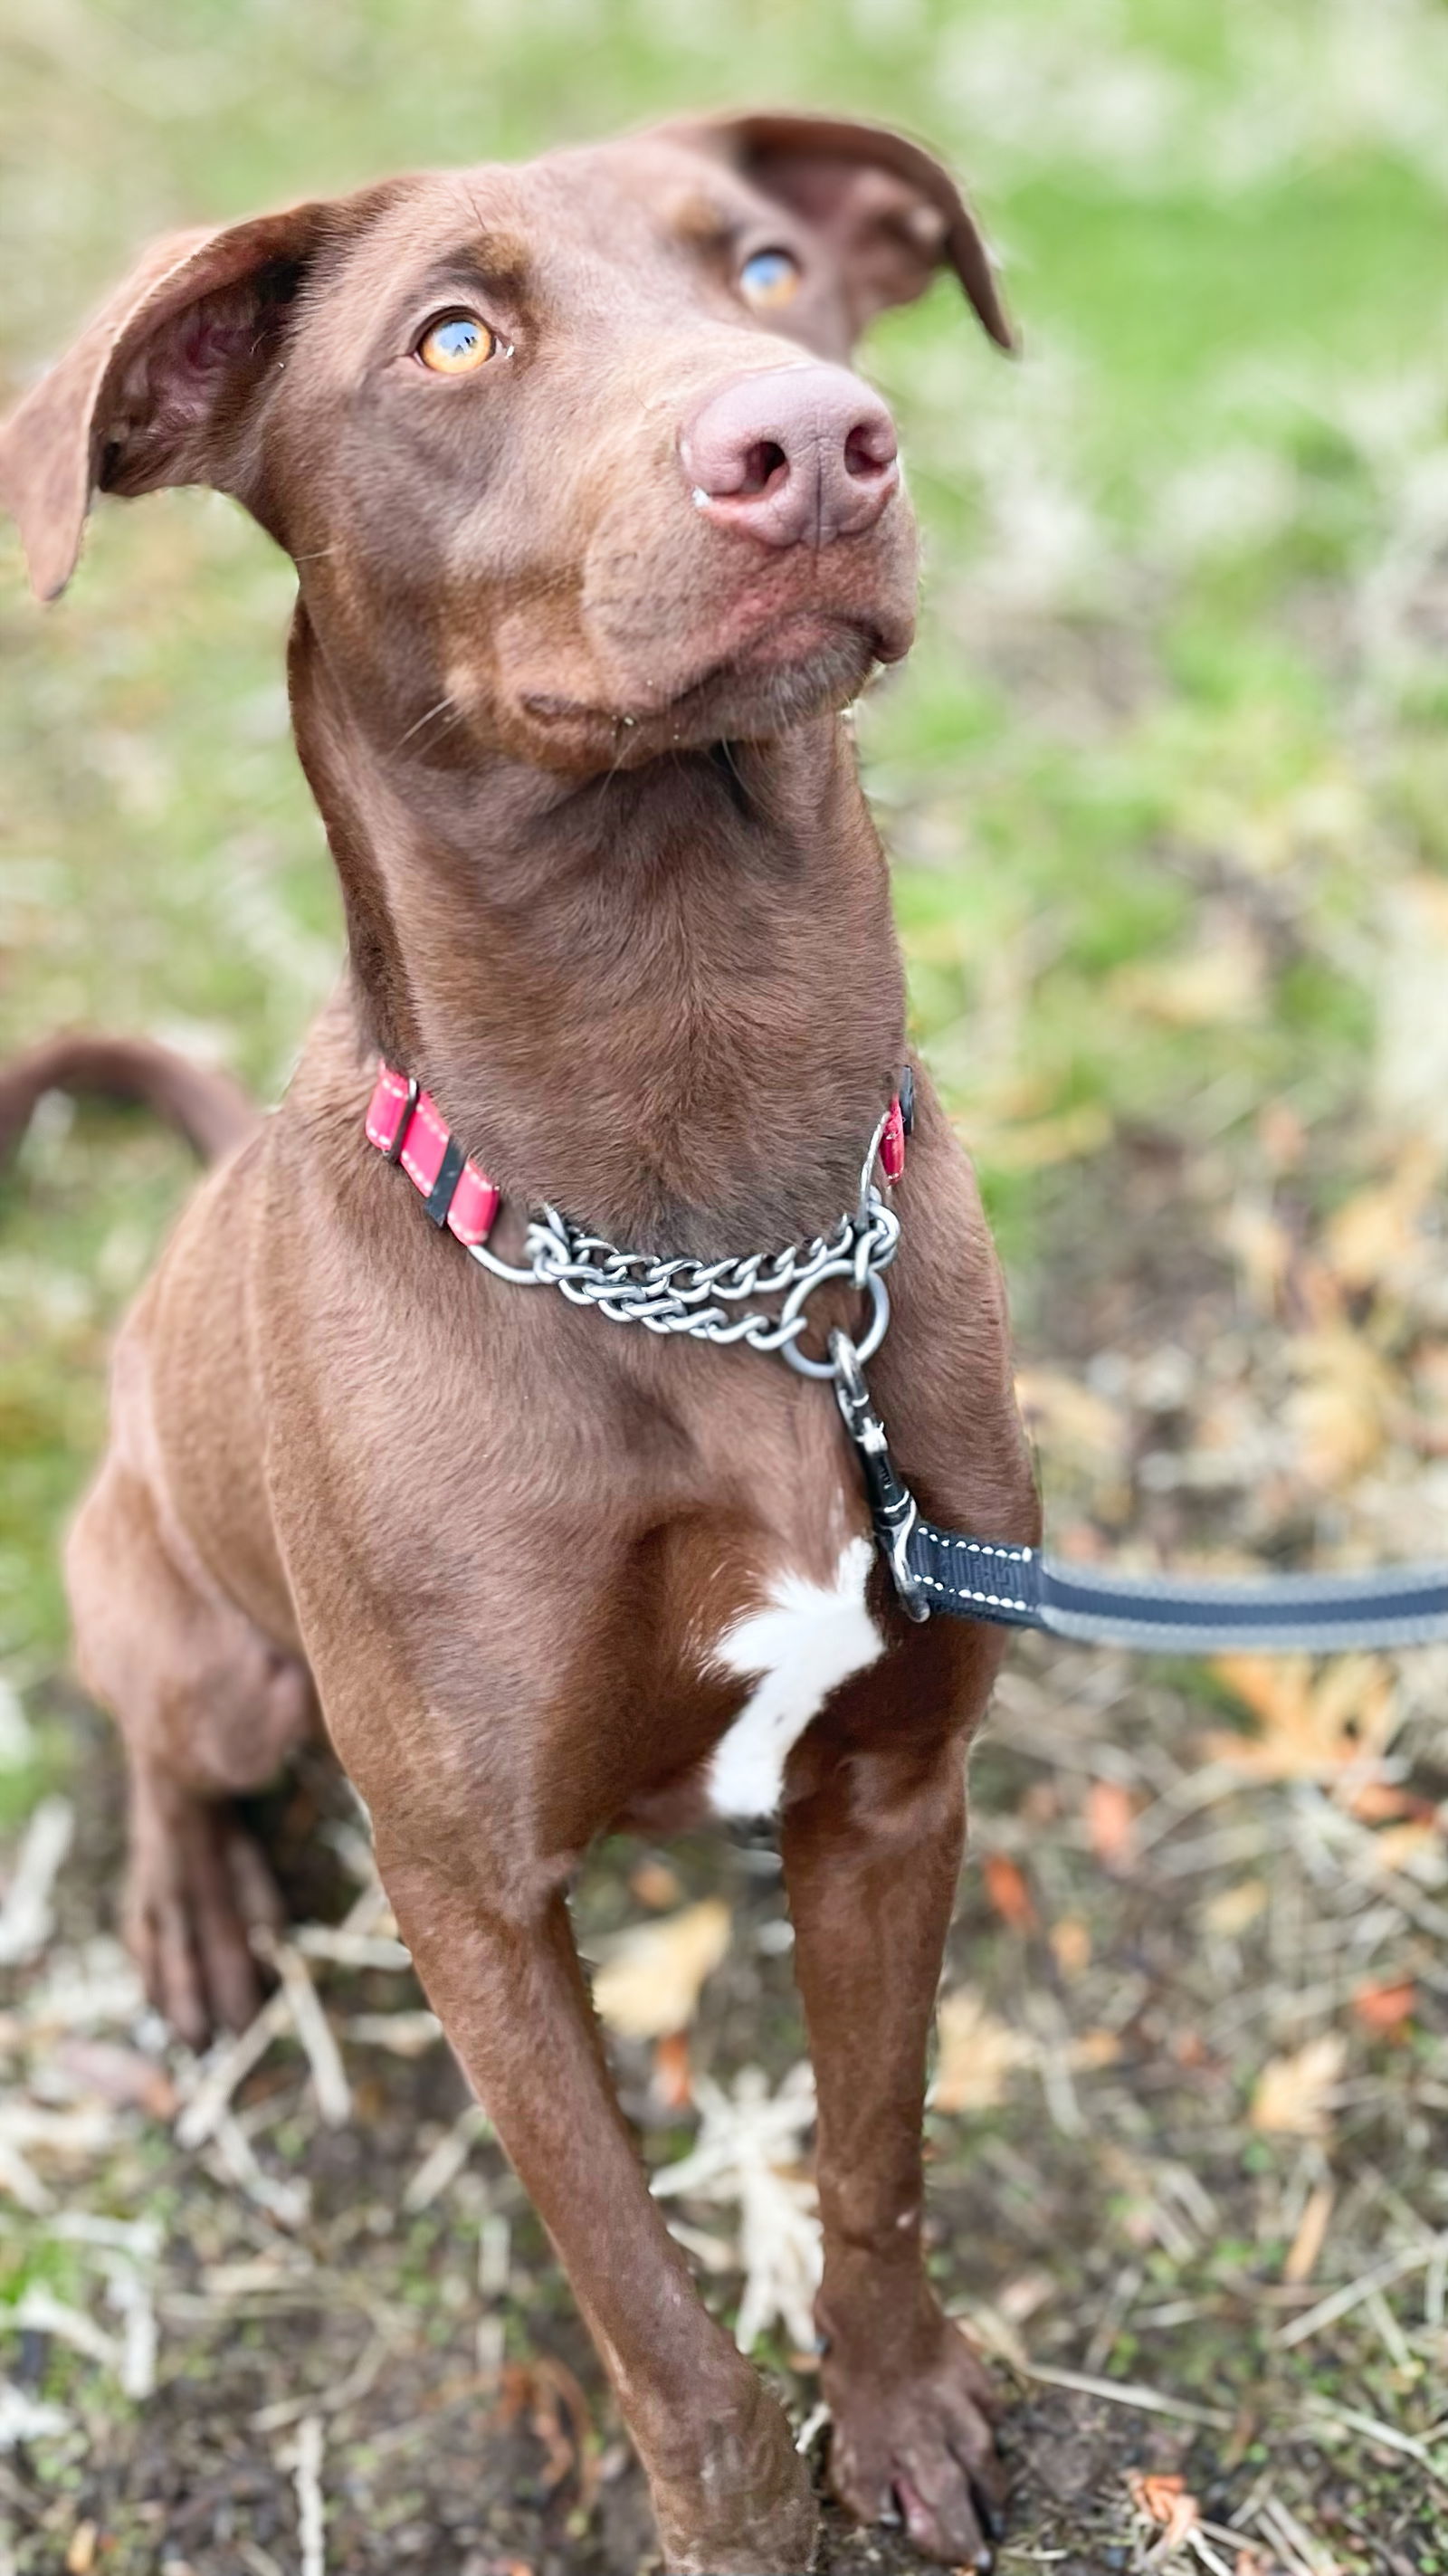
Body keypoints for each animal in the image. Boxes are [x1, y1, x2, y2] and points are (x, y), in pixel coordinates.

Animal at [0, 120, 1035, 2576]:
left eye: (763, 267)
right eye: (452, 338)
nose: (811, 446)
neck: (710, 1224)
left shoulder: (894, 1785)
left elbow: (868, 2164)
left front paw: (902, 2406)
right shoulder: (471, 1901)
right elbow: (651, 2316)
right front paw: (745, 2519)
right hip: (212, 1641)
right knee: (161, 1736)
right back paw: (192, 1909)